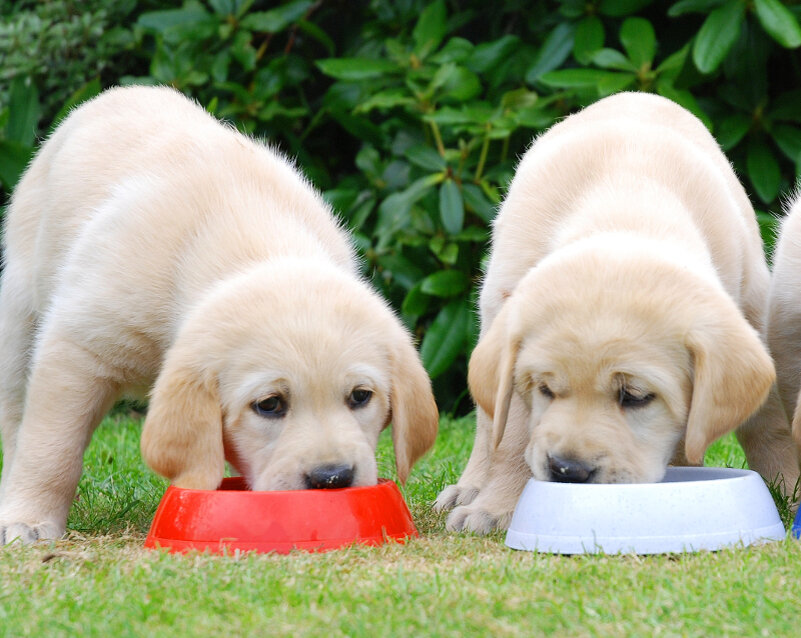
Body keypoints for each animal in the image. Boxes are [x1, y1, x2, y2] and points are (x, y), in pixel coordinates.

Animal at [0, 84, 438, 544]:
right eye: (269, 405)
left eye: (360, 396)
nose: (332, 478)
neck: (252, 242)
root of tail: (123, 91)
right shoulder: (79, 345)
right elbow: (51, 445)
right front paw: (29, 519)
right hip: (19, 317)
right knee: (15, 420)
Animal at [434, 91, 796, 536]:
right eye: (546, 390)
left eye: (635, 397)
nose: (568, 471)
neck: (626, 202)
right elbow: (515, 434)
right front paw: (496, 506)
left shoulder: (751, 310)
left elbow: (768, 421)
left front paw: (790, 486)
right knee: (489, 425)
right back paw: (469, 489)